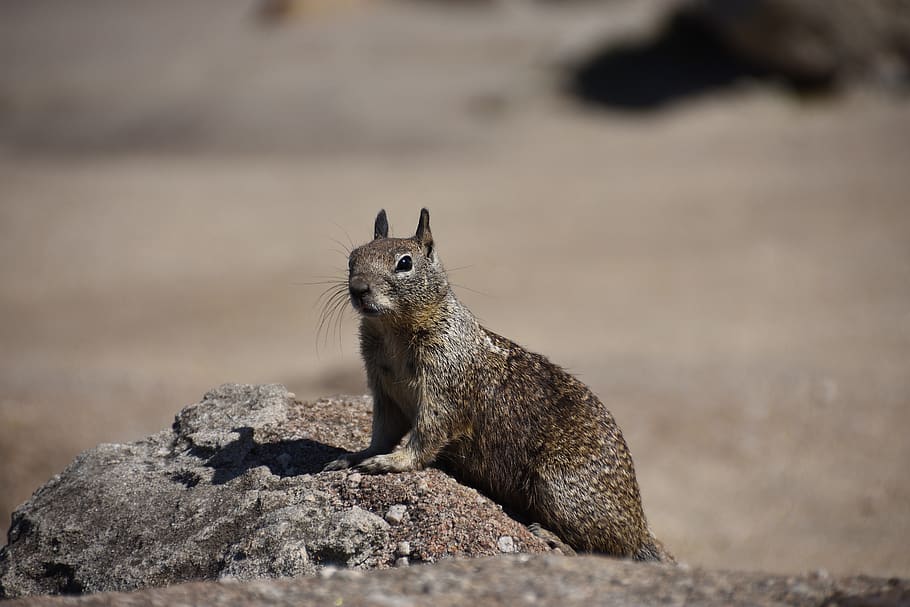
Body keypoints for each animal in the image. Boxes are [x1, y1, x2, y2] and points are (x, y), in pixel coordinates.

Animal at [324, 208, 672, 561]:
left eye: (404, 263)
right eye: (353, 258)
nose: (358, 288)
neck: (393, 330)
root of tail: (639, 529)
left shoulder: (444, 389)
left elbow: (427, 436)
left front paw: (390, 462)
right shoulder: (385, 393)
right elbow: (383, 432)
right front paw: (357, 455)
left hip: (557, 486)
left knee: (609, 548)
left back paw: (554, 538)